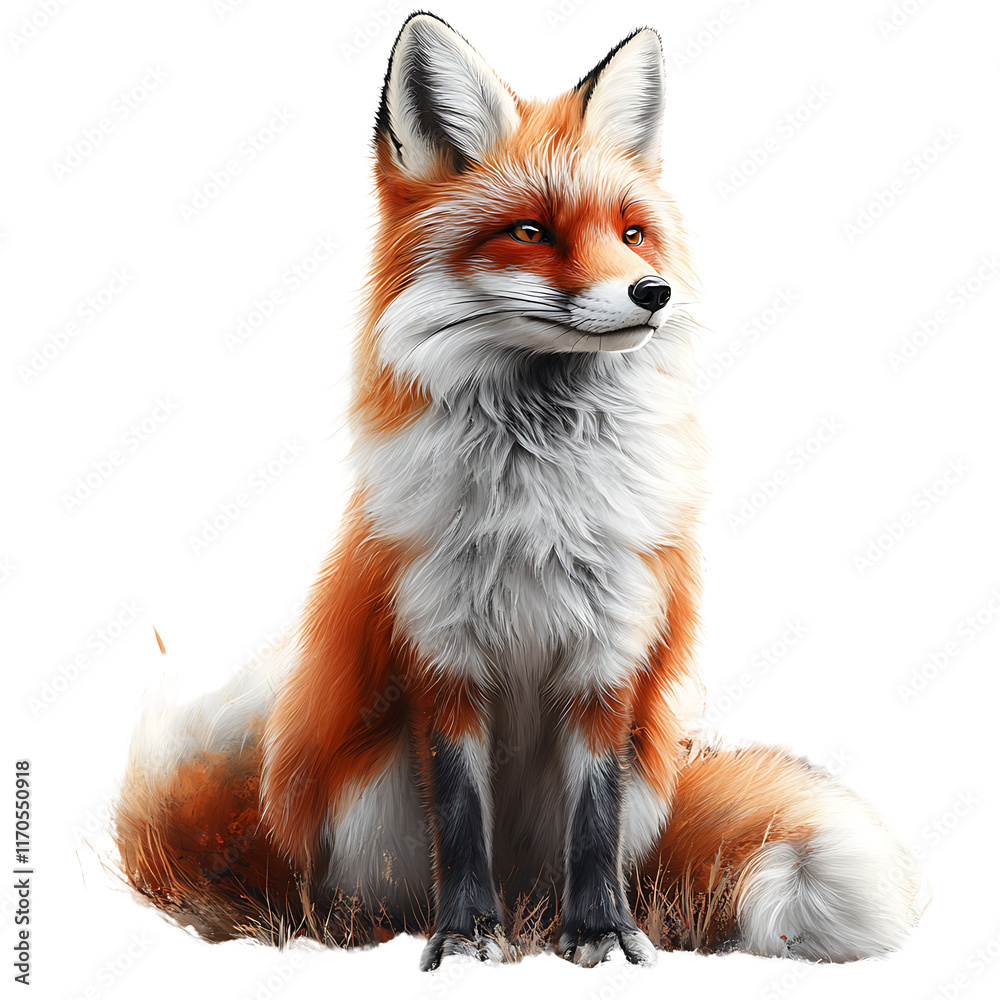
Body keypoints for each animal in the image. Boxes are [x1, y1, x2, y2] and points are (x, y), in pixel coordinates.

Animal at [112, 12, 924, 970]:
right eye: (531, 232)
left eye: (633, 233)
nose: (654, 292)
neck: (541, 498)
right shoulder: (441, 656)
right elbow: (461, 820)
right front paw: (465, 937)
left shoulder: (610, 663)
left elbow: (592, 823)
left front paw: (603, 934)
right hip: (363, 799)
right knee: (353, 899)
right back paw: (384, 930)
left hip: (645, 779)